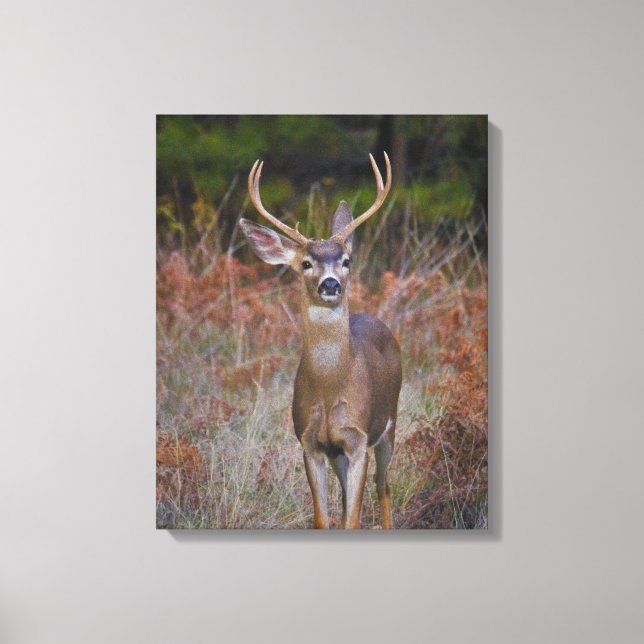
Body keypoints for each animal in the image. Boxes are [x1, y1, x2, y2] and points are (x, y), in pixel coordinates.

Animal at [239, 153, 402, 529]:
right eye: (306, 263)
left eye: (346, 260)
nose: (330, 284)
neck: (329, 389)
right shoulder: (310, 442)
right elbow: (324, 519)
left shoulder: (357, 439)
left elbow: (352, 519)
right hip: (337, 453)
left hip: (390, 422)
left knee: (384, 486)